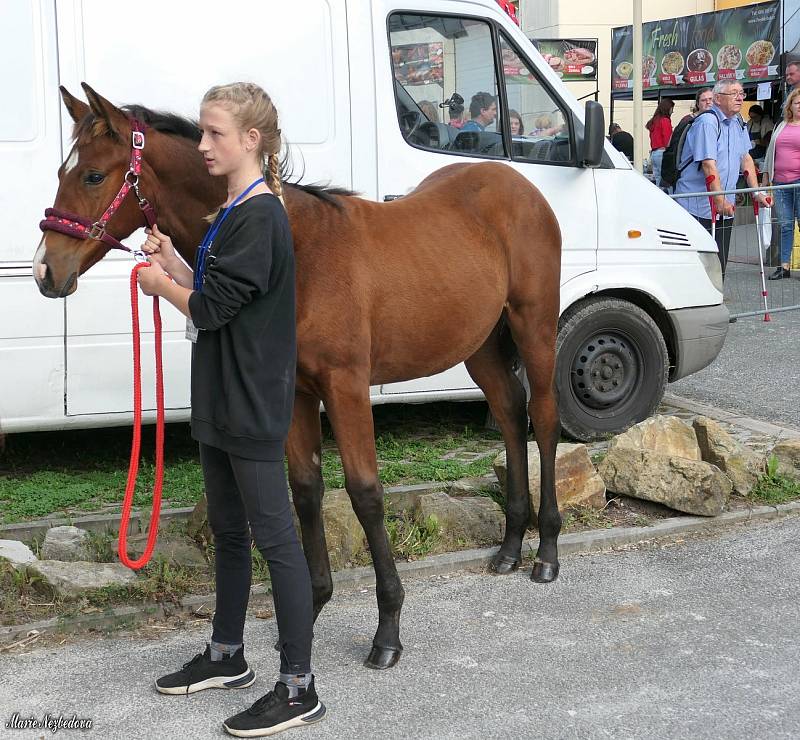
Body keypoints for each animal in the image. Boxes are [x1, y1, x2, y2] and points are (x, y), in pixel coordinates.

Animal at [36, 82, 564, 672]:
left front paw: (387, 630)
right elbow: (306, 491)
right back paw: (511, 546)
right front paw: (308, 611)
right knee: (509, 413)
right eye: (63, 171)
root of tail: (518, 184)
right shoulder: (294, 395)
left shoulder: (346, 387)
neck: (298, 249)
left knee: (542, 417)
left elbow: (365, 493)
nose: (45, 270)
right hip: (482, 347)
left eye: (92, 176)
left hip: (534, 328)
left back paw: (545, 551)